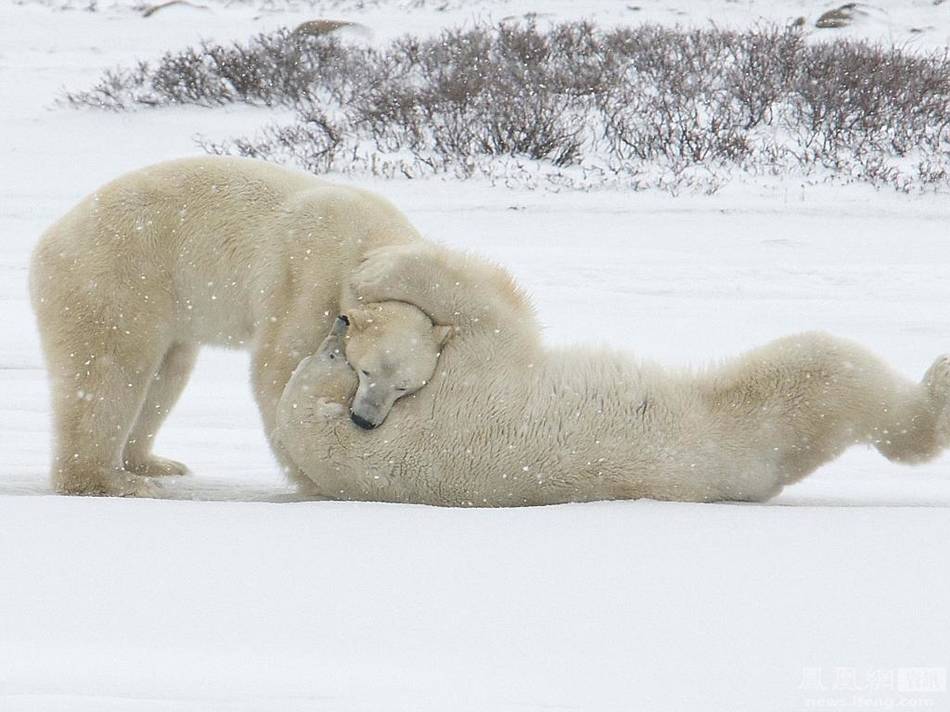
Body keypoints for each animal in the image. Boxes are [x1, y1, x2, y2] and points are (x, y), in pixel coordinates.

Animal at [28, 156, 424, 496]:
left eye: (404, 386)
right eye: (365, 371)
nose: (365, 420)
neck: (372, 251)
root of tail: (48, 242)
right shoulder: (311, 278)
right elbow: (280, 368)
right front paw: (316, 477)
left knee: (166, 374)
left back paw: (154, 464)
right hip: (118, 278)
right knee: (109, 370)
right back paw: (107, 480)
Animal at [276, 245, 950, 506]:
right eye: (338, 362)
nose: (335, 326)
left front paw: (367, 275)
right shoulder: (470, 390)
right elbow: (489, 308)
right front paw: (376, 270)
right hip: (766, 407)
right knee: (840, 372)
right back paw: (937, 387)